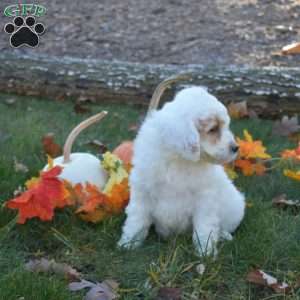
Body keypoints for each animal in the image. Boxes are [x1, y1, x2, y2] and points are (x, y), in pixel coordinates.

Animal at [118, 86, 245, 255]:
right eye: (213, 129)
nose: (236, 148)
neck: (179, 158)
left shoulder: (205, 199)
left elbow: (205, 227)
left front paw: (205, 252)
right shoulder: (142, 192)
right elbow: (136, 220)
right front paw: (128, 244)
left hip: (235, 207)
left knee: (224, 227)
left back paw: (224, 235)